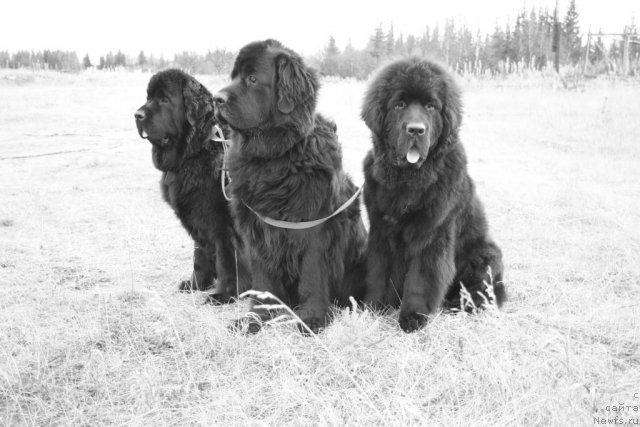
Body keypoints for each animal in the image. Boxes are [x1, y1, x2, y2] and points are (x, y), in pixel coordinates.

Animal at [135, 69, 250, 304]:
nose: (137, 115)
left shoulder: (223, 222)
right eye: (148, 97)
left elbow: (227, 259)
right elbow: (200, 255)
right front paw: (196, 284)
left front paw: (224, 294)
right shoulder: (198, 217)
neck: (196, 150)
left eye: (164, 99)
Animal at [214, 40, 364, 334]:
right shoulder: (257, 230)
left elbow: (312, 277)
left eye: (252, 78)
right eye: (232, 77)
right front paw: (255, 318)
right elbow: (263, 284)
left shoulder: (315, 229)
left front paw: (312, 318)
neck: (277, 157)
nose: (217, 98)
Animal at [360, 56, 504, 332]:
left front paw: (413, 317)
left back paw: (461, 303)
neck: (408, 180)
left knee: (488, 293)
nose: (416, 130)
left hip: (486, 255)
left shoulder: (432, 235)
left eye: (431, 106)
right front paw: (373, 307)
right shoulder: (381, 232)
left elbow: (421, 278)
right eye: (400, 104)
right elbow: (378, 271)